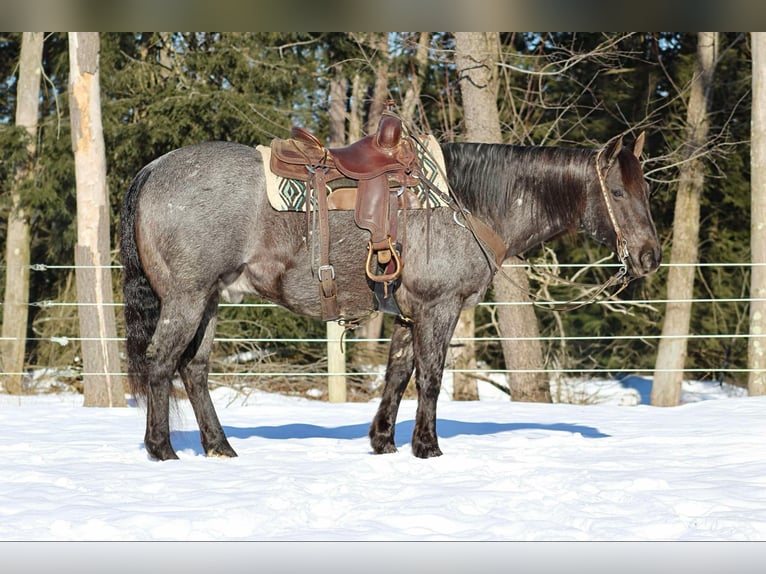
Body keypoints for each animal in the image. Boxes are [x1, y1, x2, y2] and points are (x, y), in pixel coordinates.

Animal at [118, 132, 660, 464]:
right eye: (617, 190)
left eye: (647, 190)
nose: (650, 256)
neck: (464, 203)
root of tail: (153, 169)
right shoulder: (439, 308)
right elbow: (431, 378)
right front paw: (428, 446)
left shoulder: (406, 314)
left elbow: (398, 374)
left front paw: (384, 442)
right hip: (187, 298)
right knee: (161, 361)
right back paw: (162, 449)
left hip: (211, 298)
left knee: (194, 369)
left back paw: (219, 447)